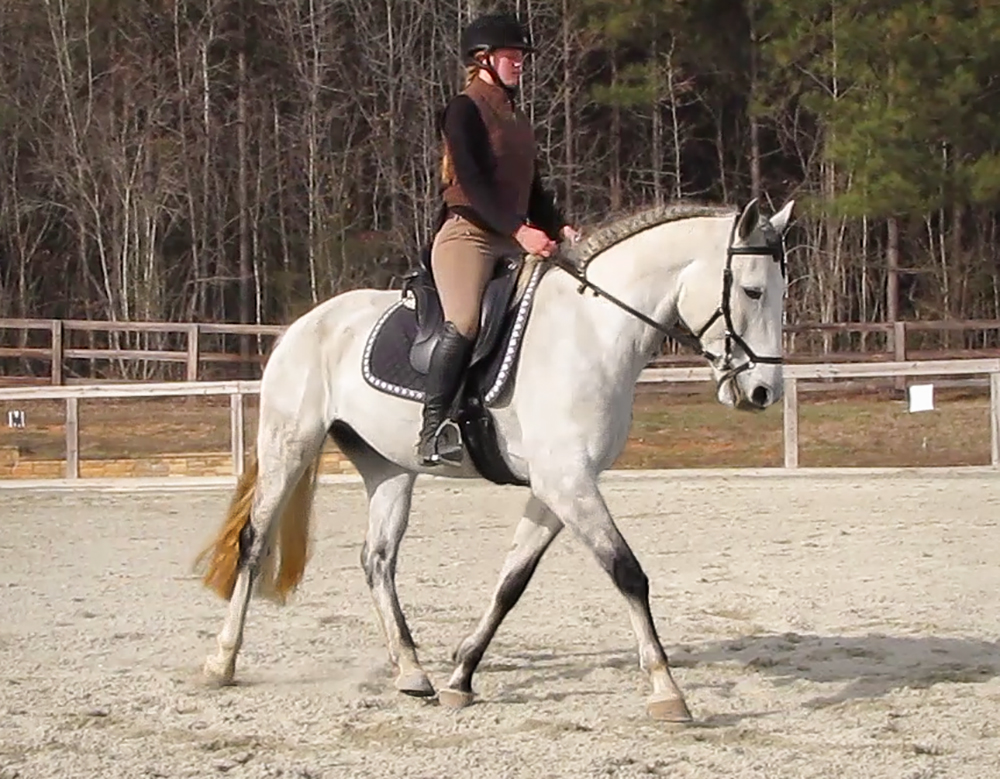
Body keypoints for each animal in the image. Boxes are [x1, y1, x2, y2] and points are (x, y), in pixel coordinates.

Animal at [195, 198, 796, 724]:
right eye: (751, 290)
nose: (763, 392)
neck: (592, 331)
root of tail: (304, 324)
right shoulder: (568, 482)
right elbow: (627, 572)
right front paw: (667, 691)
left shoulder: (557, 488)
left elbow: (512, 581)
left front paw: (461, 675)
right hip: (289, 443)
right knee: (255, 542)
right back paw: (222, 661)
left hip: (388, 468)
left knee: (378, 559)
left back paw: (411, 671)